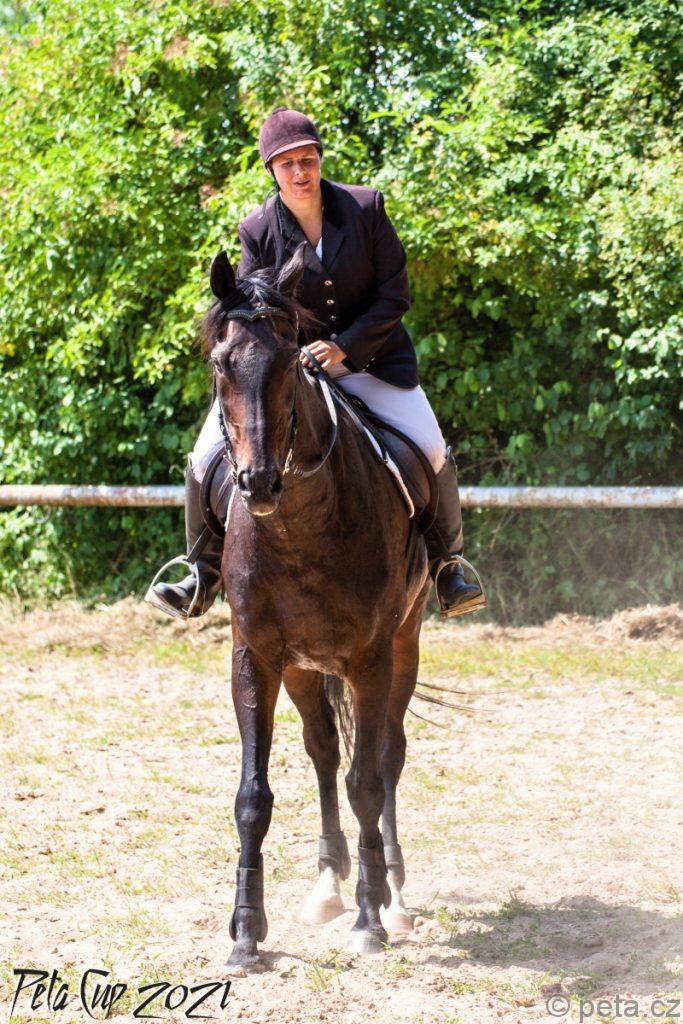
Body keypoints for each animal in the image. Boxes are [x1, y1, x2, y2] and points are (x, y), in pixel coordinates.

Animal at [202, 242, 431, 972]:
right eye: (220, 363)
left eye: (288, 362)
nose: (257, 484)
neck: (298, 526)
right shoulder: (256, 656)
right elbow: (254, 795)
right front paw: (246, 932)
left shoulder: (369, 659)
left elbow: (368, 782)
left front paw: (370, 919)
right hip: (304, 669)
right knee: (325, 751)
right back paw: (329, 885)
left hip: (403, 646)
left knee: (386, 755)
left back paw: (392, 892)